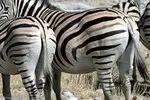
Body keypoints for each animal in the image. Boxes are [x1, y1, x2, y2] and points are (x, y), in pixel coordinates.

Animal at [1, 0, 150, 99]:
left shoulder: (48, 63)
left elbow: (48, 88)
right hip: (126, 57)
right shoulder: (55, 65)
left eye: (6, 8)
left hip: (103, 57)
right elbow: (56, 88)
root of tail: (124, 18)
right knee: (126, 84)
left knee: (109, 89)